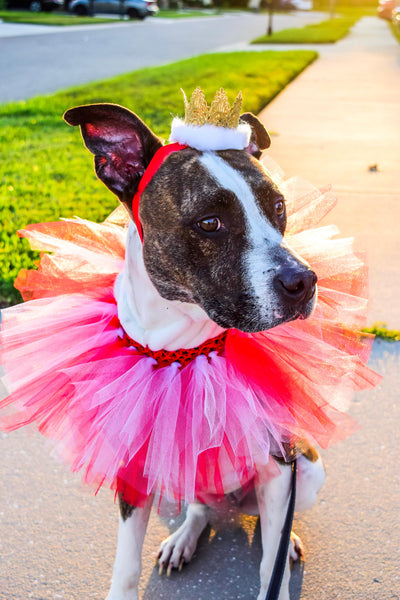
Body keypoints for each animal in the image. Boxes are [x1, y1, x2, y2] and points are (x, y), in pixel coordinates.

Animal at [62, 99, 324, 600]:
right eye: (209, 223)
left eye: (279, 207)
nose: (302, 281)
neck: (186, 351)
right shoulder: (134, 467)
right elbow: (125, 564)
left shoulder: (280, 466)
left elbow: (270, 563)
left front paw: (278, 567)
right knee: (200, 509)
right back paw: (183, 538)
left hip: (306, 469)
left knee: (274, 530)